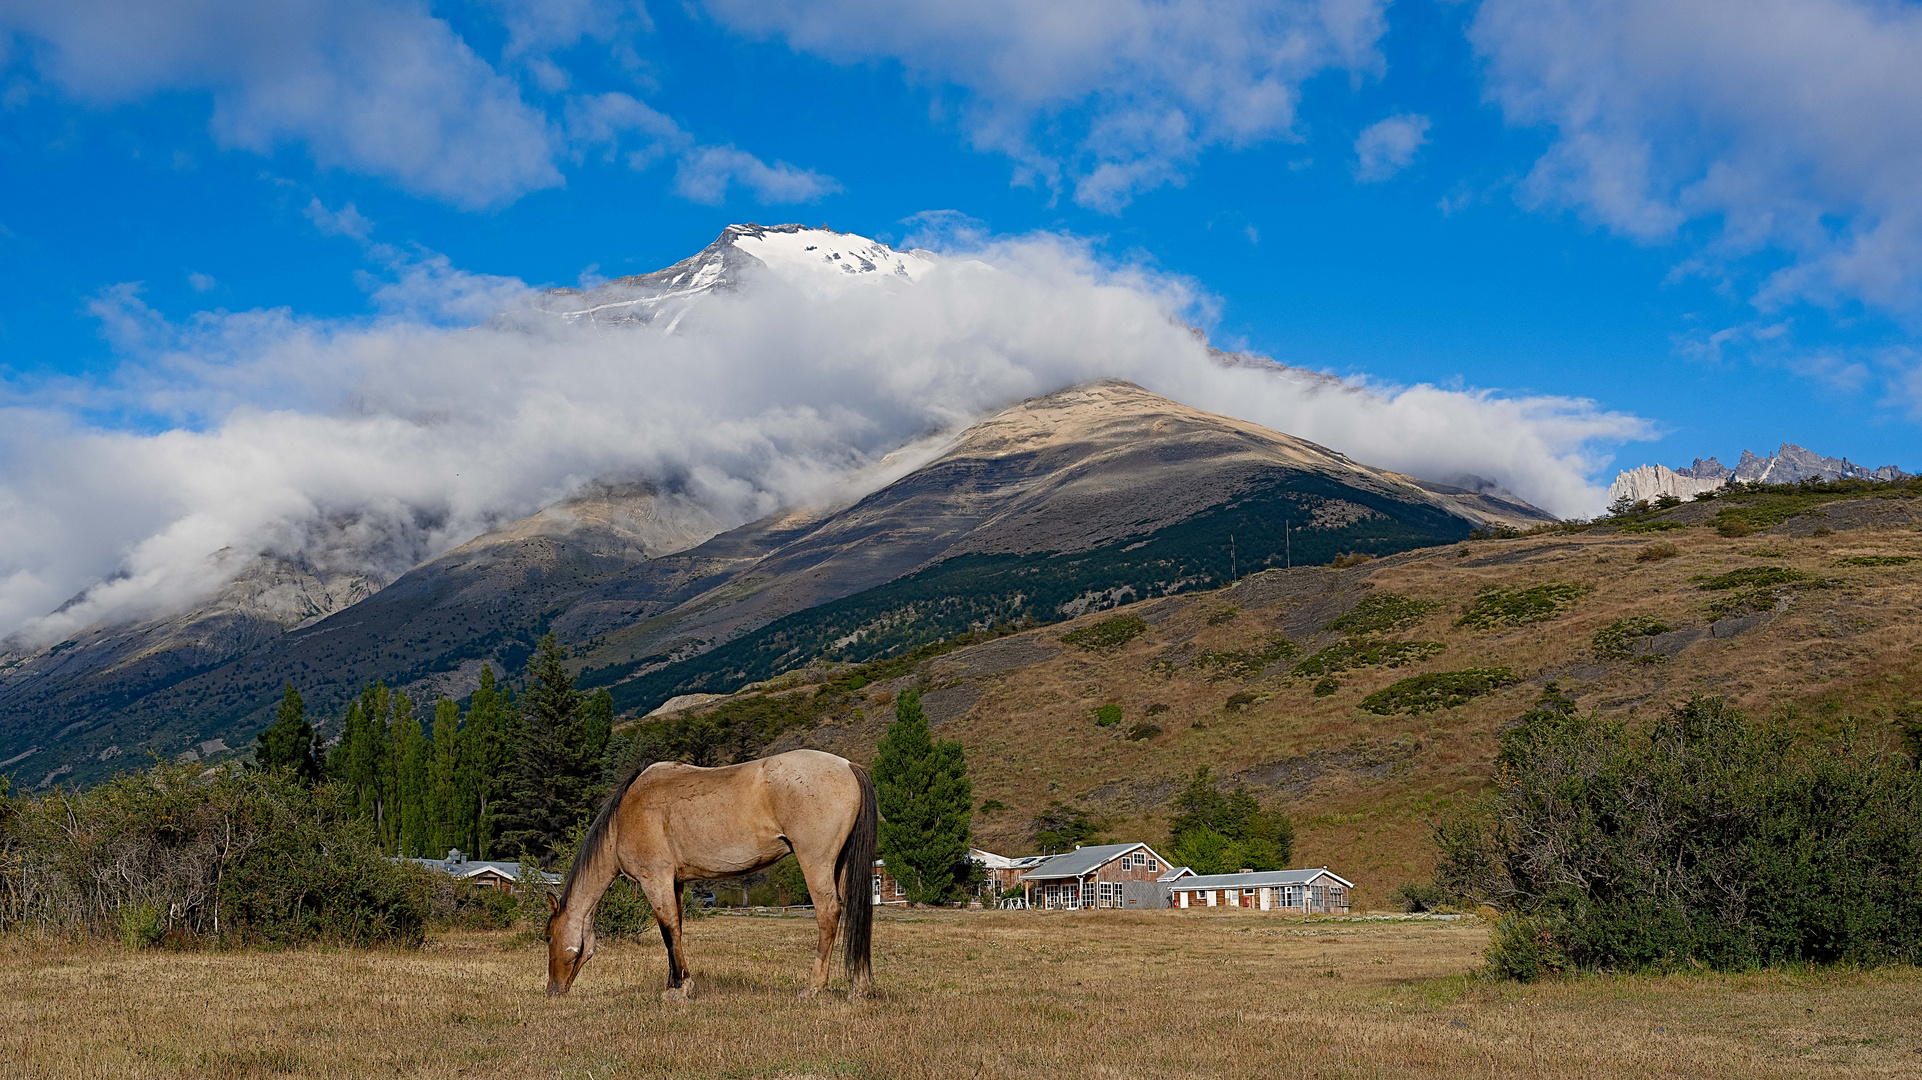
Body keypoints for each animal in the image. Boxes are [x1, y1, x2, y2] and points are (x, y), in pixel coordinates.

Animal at [549, 745, 880, 999]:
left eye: (548, 936)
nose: (553, 989)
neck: (625, 816)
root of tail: (848, 766)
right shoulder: (675, 883)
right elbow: (676, 931)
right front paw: (674, 983)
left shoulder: (655, 880)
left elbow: (668, 930)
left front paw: (679, 988)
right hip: (841, 865)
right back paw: (859, 987)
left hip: (816, 861)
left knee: (828, 914)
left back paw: (814, 988)